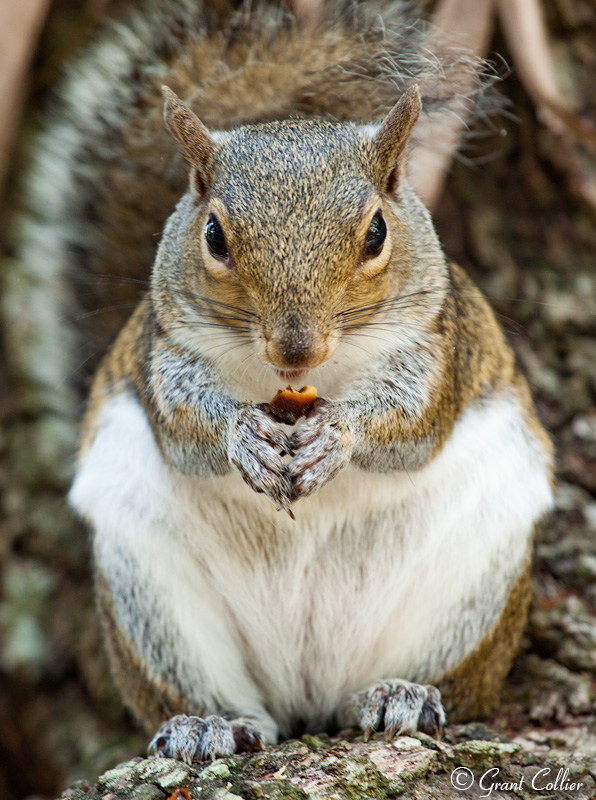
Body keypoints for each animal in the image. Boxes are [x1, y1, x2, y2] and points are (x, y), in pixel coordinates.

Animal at [22, 0, 556, 764]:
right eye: (214, 235)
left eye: (375, 233)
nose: (294, 349)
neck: (303, 383)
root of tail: (308, 690)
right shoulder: (165, 349)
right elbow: (185, 424)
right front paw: (242, 435)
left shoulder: (439, 345)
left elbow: (413, 422)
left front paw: (337, 434)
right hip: (154, 599)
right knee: (222, 699)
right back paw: (209, 722)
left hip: (471, 588)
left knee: (448, 684)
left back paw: (398, 693)